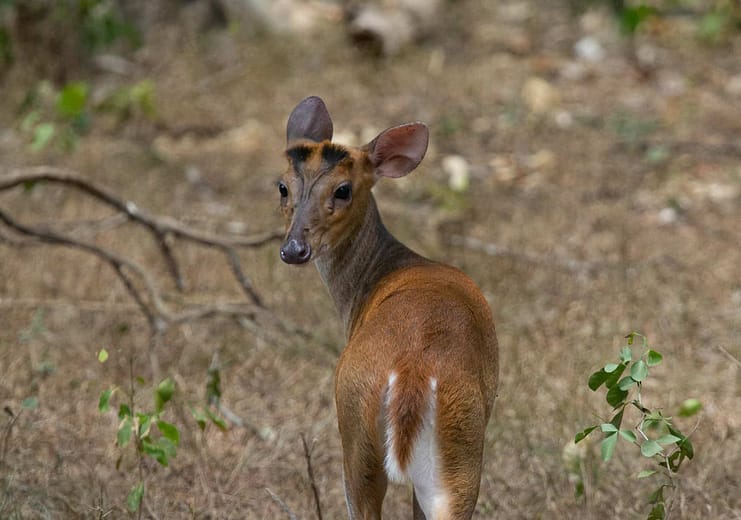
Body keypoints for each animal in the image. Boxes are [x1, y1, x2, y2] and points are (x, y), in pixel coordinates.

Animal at [276, 95, 498, 516]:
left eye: (343, 190)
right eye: (282, 186)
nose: (294, 249)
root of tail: (412, 372)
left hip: (357, 429)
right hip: (458, 445)